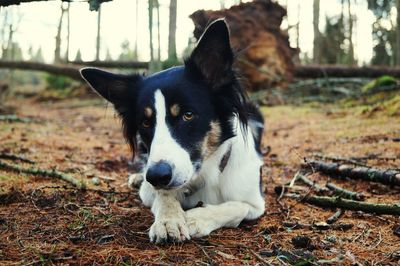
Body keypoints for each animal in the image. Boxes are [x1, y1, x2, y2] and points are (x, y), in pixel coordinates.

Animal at [80, 19, 266, 243]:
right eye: (145, 123)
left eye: (188, 115)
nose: (157, 176)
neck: (204, 175)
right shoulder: (151, 186)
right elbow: (163, 195)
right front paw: (169, 220)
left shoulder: (255, 203)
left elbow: (235, 207)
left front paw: (197, 218)